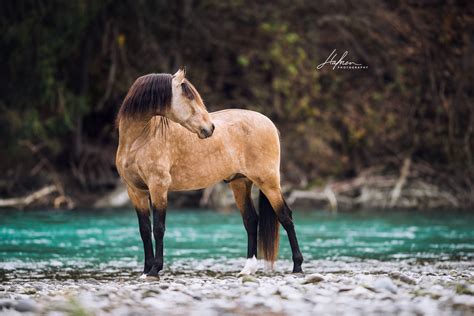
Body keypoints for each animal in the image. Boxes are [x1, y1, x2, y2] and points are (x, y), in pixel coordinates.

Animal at [115, 68, 304, 276]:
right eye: (189, 97)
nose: (210, 128)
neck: (139, 140)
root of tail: (269, 123)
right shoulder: (136, 191)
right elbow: (144, 230)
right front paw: (146, 270)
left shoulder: (158, 187)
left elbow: (158, 228)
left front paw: (155, 269)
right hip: (241, 182)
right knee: (251, 220)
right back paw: (247, 269)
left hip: (268, 182)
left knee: (285, 217)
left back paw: (297, 266)